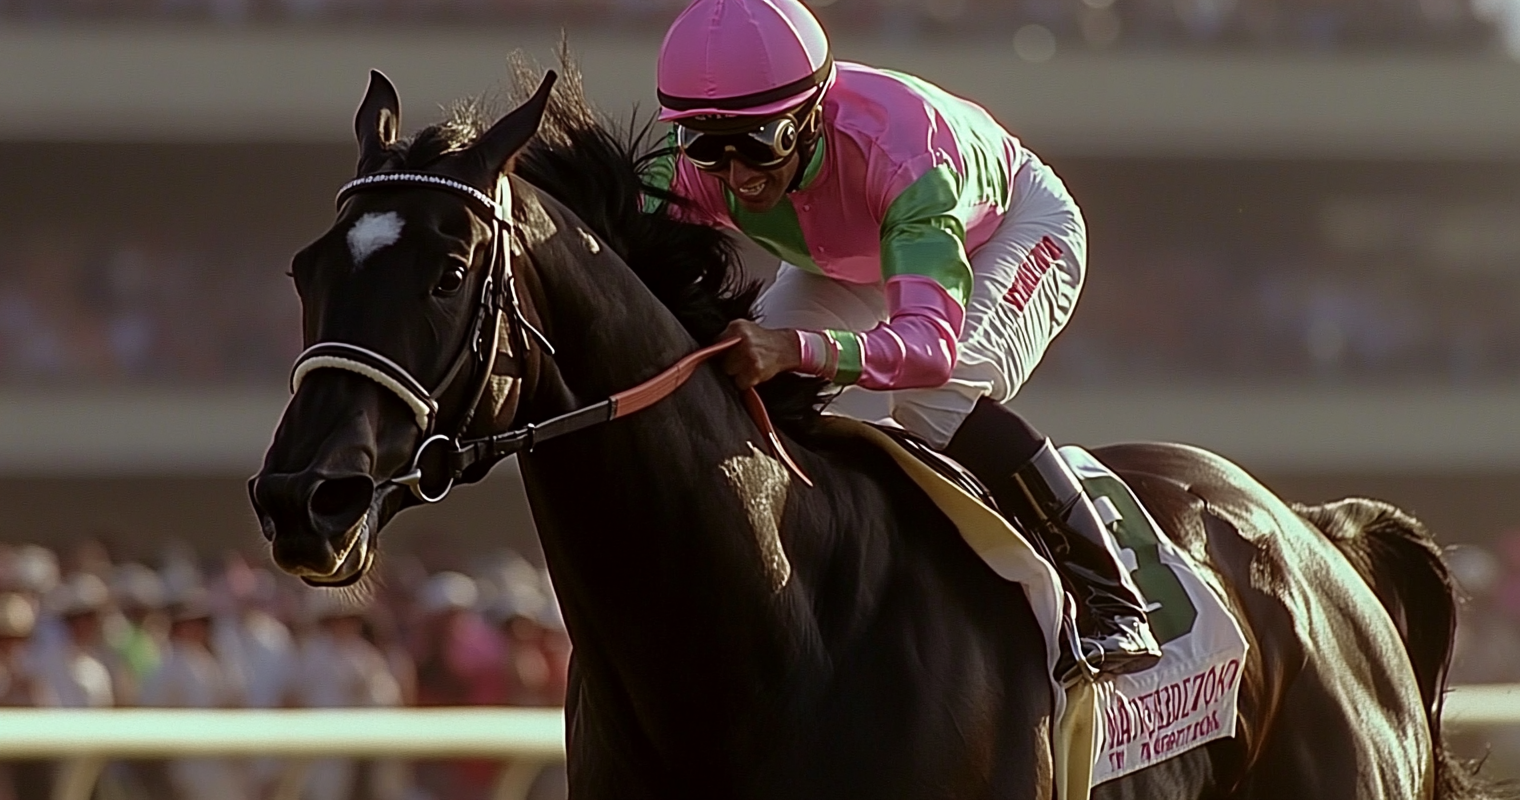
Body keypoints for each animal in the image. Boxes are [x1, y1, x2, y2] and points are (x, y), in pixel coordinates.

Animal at [252, 65, 1495, 796]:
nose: (301, 499)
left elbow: (931, 347)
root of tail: (1310, 529)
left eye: (450, 270)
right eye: (304, 268)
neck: (767, 623)